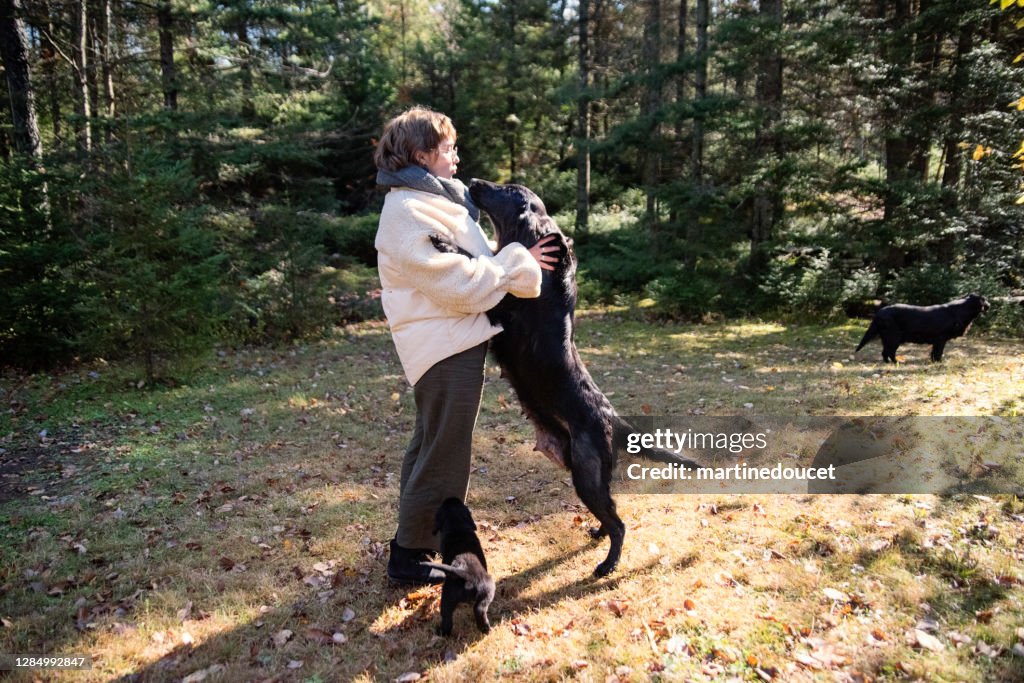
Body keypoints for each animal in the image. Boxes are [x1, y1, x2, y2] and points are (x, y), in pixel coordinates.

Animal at [417, 497, 493, 634]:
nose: (450, 498)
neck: (457, 527)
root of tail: (465, 573)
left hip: (448, 597)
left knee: (447, 617)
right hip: (487, 590)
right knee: (479, 610)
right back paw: (486, 629)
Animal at [428, 180, 700, 577]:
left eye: (506, 188)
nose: (474, 182)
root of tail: (615, 419)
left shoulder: (501, 305)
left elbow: (481, 263)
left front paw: (444, 241)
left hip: (587, 474)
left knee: (619, 522)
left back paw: (607, 565)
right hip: (587, 474)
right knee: (612, 513)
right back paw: (598, 534)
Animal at [856, 294, 991, 362]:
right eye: (984, 300)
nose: (989, 305)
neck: (960, 310)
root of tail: (879, 312)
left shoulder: (937, 340)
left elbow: (933, 353)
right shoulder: (941, 338)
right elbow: (938, 352)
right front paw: (939, 362)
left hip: (888, 338)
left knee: (885, 353)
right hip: (894, 337)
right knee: (889, 352)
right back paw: (896, 362)